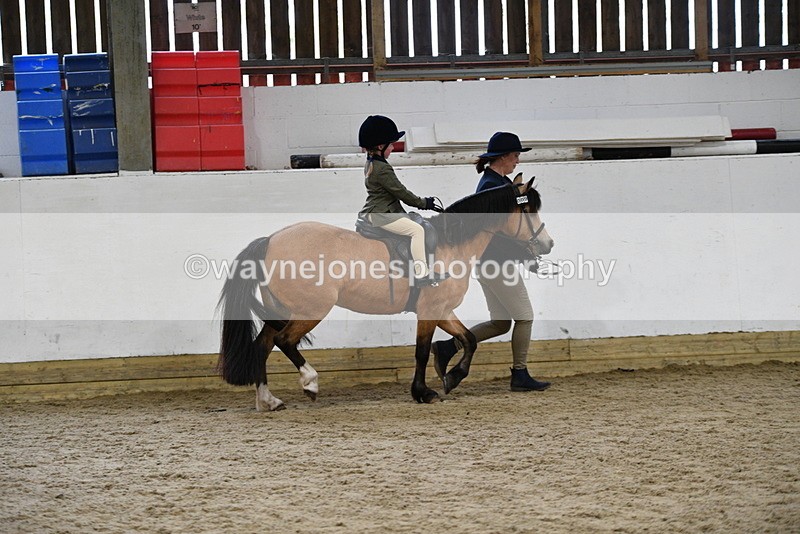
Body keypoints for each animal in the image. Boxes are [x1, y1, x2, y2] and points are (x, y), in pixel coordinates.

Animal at [217, 175, 554, 410]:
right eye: (528, 210)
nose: (547, 244)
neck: (450, 243)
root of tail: (271, 240)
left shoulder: (443, 309)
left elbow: (468, 339)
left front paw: (452, 377)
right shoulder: (430, 310)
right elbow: (421, 351)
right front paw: (423, 392)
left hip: (282, 309)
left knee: (262, 346)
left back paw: (268, 401)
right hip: (311, 310)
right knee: (285, 342)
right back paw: (310, 383)